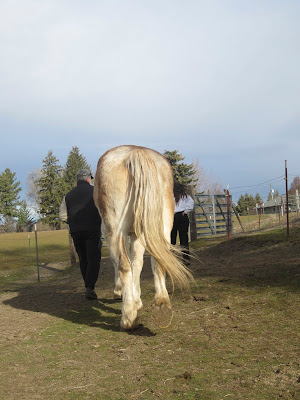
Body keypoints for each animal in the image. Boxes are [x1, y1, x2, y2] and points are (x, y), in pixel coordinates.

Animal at [94, 145, 192, 330]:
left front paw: (121, 293)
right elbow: (137, 264)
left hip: (115, 230)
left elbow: (120, 263)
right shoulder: (137, 235)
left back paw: (128, 318)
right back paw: (162, 306)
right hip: (161, 226)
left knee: (123, 264)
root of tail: (135, 153)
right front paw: (137, 300)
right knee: (159, 260)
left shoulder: (112, 234)